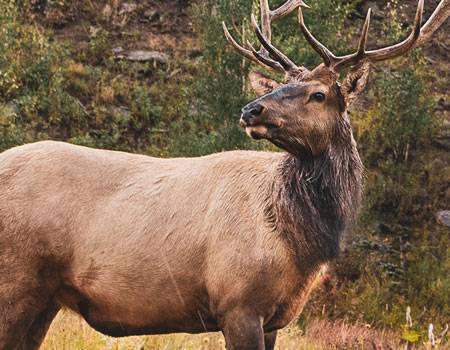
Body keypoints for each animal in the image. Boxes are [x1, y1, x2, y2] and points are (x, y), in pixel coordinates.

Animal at [0, 0, 450, 348]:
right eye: (280, 85)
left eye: (318, 94)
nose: (252, 108)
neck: (300, 242)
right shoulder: (238, 303)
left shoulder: (274, 317)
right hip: (16, 283)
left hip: (45, 299)